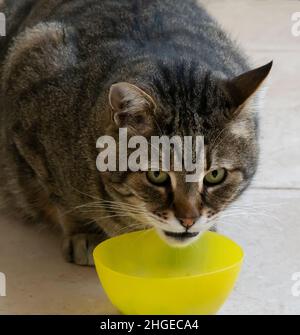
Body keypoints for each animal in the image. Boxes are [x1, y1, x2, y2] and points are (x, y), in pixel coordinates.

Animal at [0, 0, 272, 266]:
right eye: (156, 175)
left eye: (215, 175)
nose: (188, 220)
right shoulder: (31, 75)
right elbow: (64, 200)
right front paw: (84, 232)